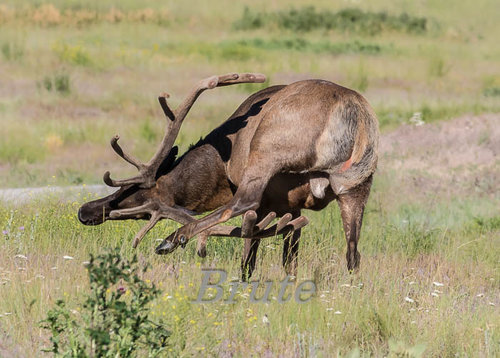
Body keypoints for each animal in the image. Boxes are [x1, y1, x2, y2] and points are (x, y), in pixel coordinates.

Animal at [78, 73, 376, 280]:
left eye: (136, 193)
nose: (85, 211)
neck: (220, 166)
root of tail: (355, 113)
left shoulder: (268, 201)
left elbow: (248, 258)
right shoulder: (294, 205)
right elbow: (290, 262)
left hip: (267, 153)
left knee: (242, 202)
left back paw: (173, 238)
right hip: (357, 184)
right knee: (353, 254)